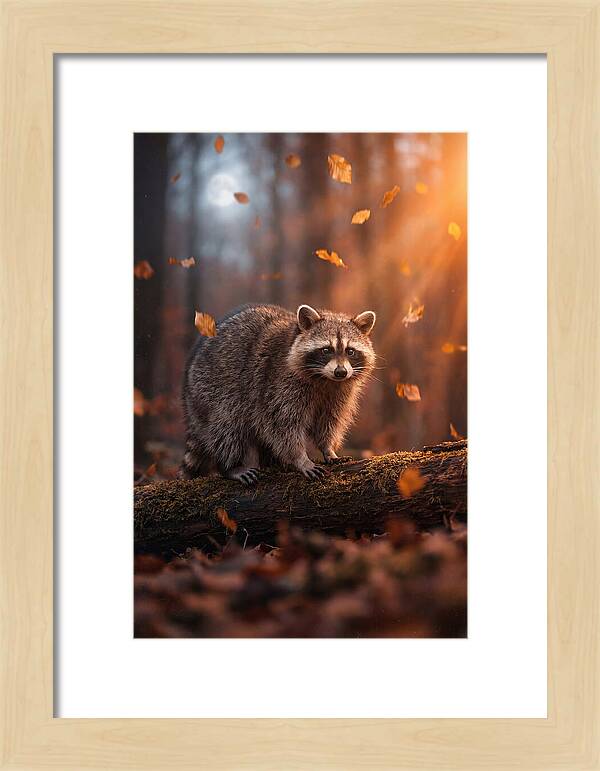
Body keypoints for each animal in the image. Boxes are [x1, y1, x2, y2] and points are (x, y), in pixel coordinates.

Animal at [179, 303, 376, 484]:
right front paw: (300, 458)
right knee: (227, 428)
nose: (340, 372)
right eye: (326, 350)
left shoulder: (339, 393)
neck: (325, 379)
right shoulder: (277, 384)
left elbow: (329, 421)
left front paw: (328, 448)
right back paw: (231, 466)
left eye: (350, 351)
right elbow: (283, 425)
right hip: (212, 391)